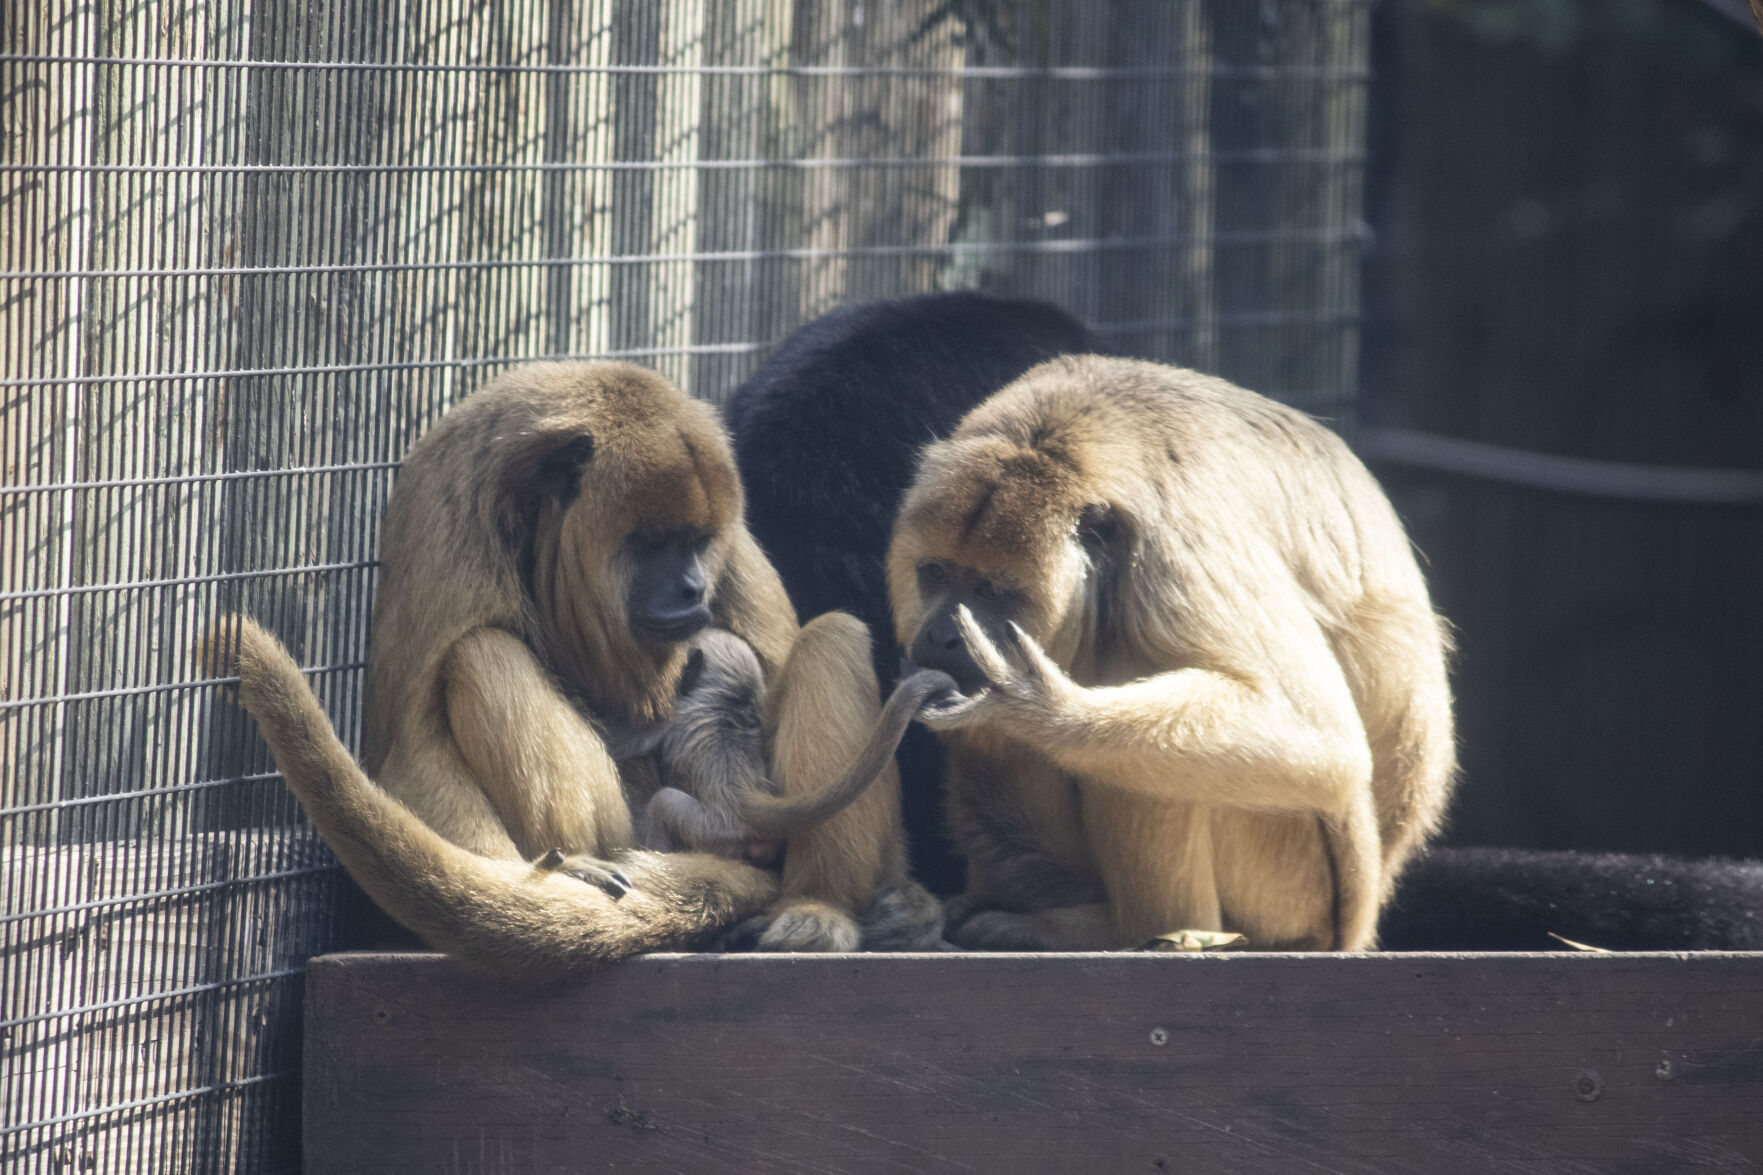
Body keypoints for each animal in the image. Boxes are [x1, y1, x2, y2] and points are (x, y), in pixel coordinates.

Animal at [209, 361, 937, 966]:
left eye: (697, 542)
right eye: (653, 543)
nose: (692, 588)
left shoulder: (731, 551)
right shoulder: (446, 503)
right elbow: (412, 747)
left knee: (832, 636)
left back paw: (819, 906)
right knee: (484, 655)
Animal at [895, 356, 1459, 952]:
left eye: (992, 591)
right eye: (934, 574)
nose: (941, 635)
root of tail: (1359, 921)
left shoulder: (1175, 540)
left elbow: (1327, 741)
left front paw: (1037, 706)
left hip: (1295, 889)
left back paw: (1139, 930)